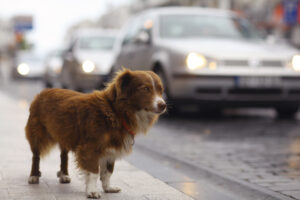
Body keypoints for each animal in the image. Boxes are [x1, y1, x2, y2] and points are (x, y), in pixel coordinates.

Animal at [25, 69, 166, 198]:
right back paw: (33, 176)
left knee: (63, 155)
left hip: (64, 134)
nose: (163, 105)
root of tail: (43, 92)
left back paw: (64, 175)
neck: (116, 112)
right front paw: (92, 191)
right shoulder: (90, 148)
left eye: (160, 90)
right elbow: (93, 172)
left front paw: (108, 188)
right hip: (37, 135)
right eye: (145, 89)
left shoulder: (111, 149)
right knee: (35, 156)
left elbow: (108, 172)